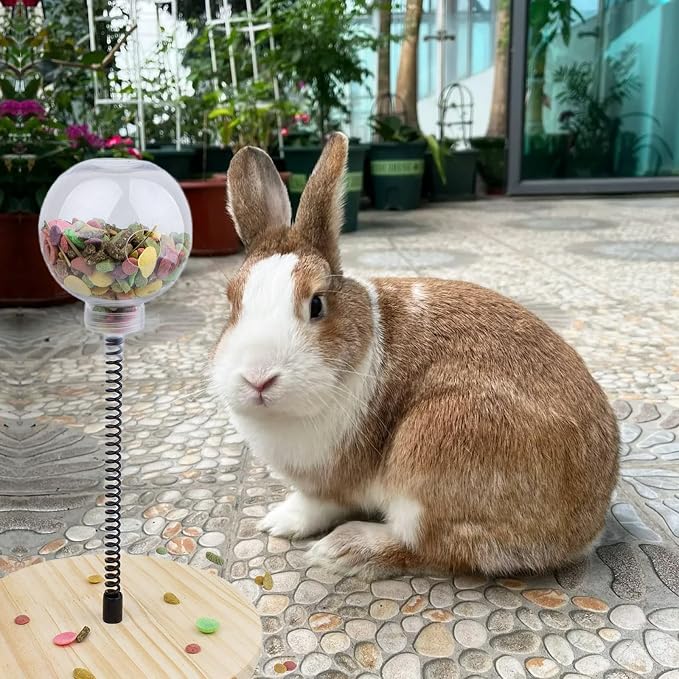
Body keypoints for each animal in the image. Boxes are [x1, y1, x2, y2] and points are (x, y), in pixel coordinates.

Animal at [212, 132, 619, 579]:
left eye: (316, 304)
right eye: (231, 303)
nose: (258, 378)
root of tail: (586, 527)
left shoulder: (332, 484)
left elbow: (317, 504)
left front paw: (282, 523)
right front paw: (275, 522)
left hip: (431, 447)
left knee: (434, 547)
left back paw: (344, 549)